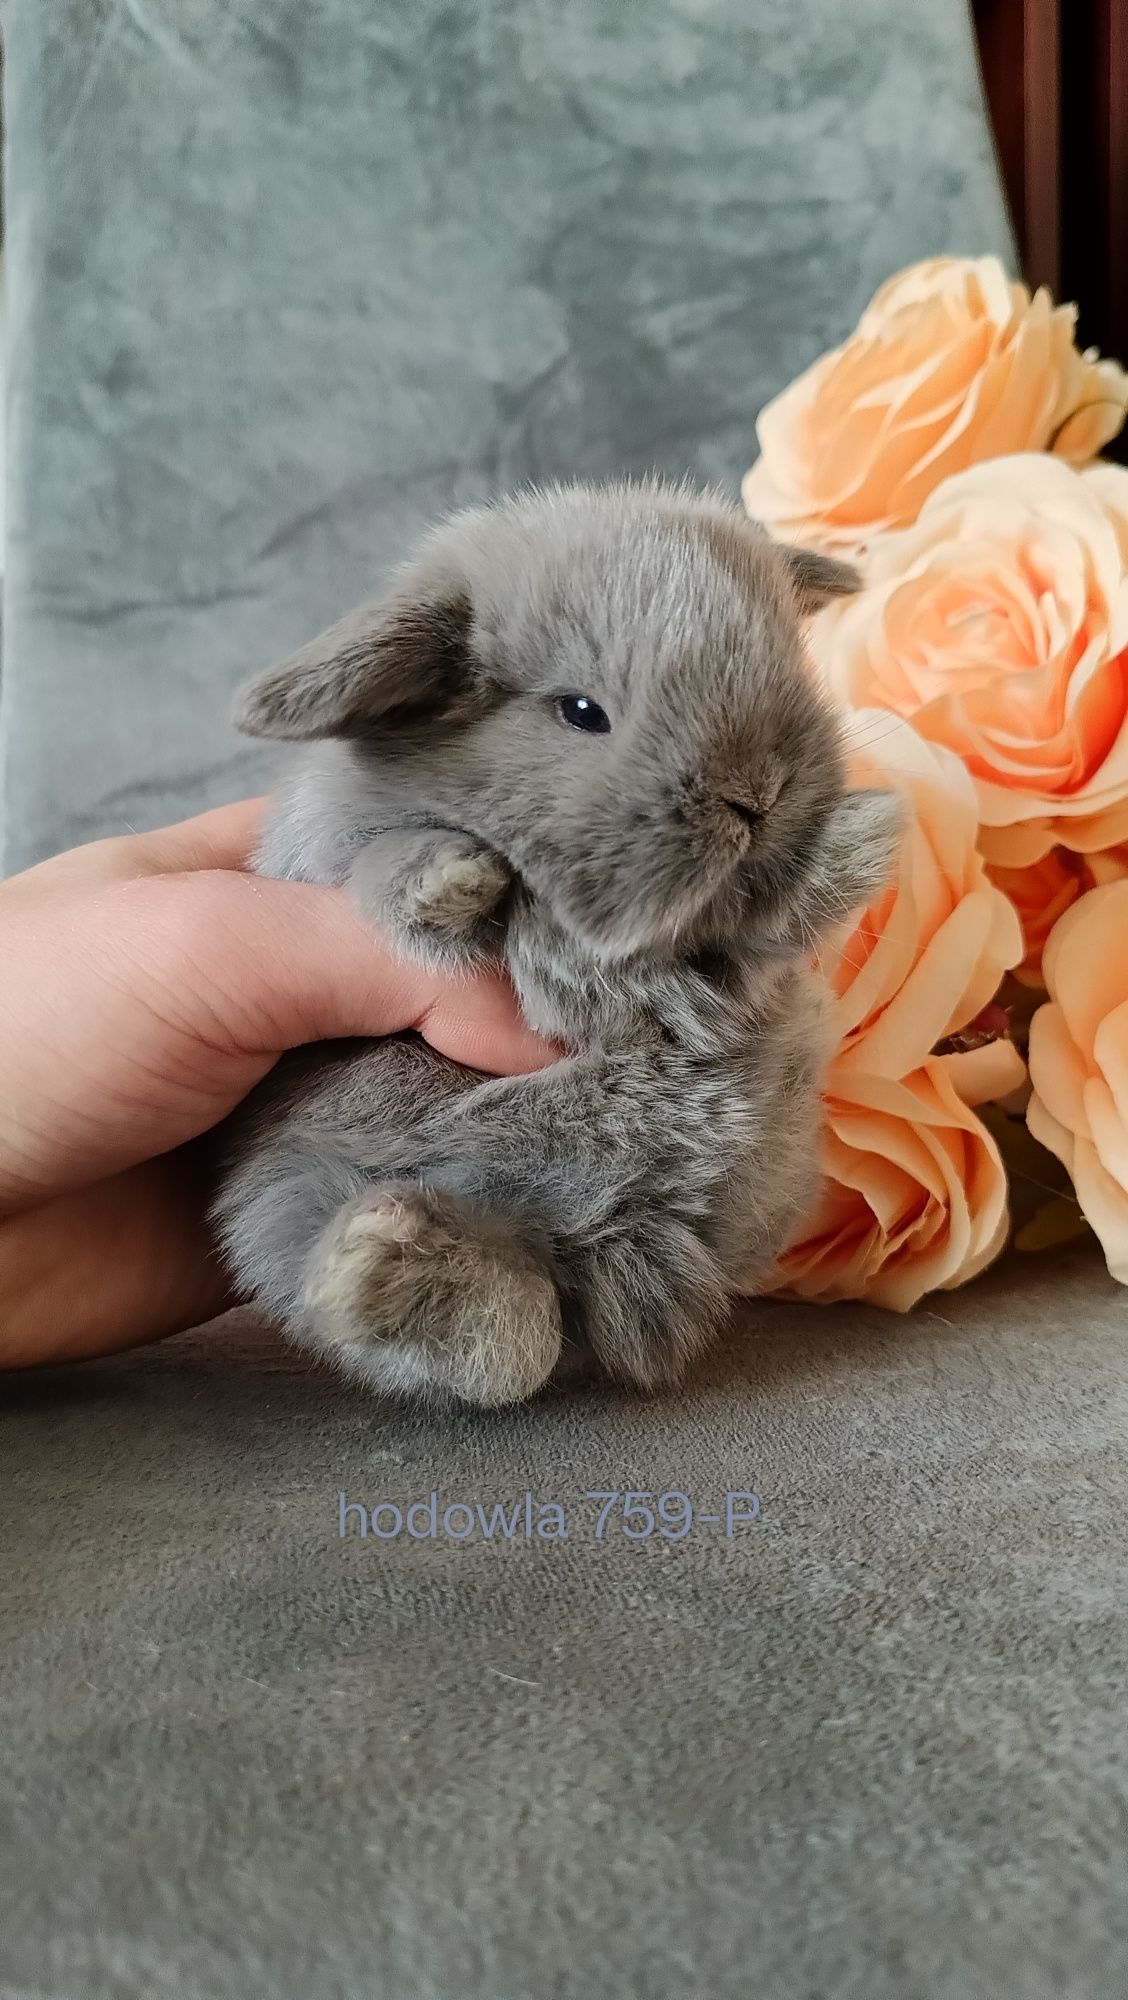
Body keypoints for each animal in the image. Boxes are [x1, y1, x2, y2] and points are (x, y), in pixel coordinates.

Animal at [214, 480, 900, 1408]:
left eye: (790, 667)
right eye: (582, 712)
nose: (756, 795)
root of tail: (602, 1238)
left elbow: (763, 936)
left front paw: (866, 833)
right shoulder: (353, 859)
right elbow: (397, 876)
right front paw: (458, 876)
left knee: (534, 1324)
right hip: (302, 1186)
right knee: (511, 1330)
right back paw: (378, 1257)